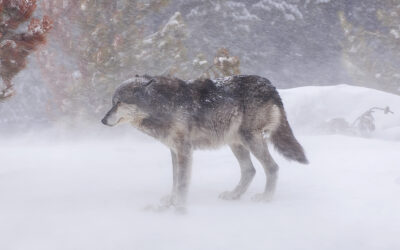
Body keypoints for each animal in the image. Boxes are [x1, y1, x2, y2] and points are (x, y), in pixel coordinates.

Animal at [101, 73, 308, 209]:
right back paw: (233, 195)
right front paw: (171, 201)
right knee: (250, 170)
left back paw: (266, 198)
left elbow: (182, 182)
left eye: (118, 103)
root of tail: (269, 84)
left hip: (251, 140)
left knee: (272, 168)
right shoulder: (174, 151)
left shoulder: (184, 150)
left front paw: (179, 206)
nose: (102, 120)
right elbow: (175, 179)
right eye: (112, 102)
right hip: (236, 143)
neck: (163, 106)